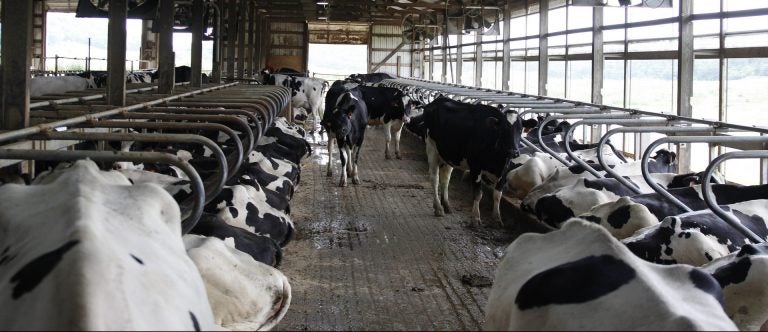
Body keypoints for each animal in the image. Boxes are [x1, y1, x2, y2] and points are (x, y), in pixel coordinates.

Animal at [420, 94, 520, 227]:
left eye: (521, 129)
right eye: (503, 129)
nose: (513, 152)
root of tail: (439, 99)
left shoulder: (504, 171)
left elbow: (497, 195)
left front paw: (497, 218)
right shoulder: (475, 167)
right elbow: (478, 194)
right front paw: (476, 219)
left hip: (449, 155)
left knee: (445, 178)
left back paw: (446, 205)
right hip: (431, 148)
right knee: (434, 178)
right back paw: (438, 208)